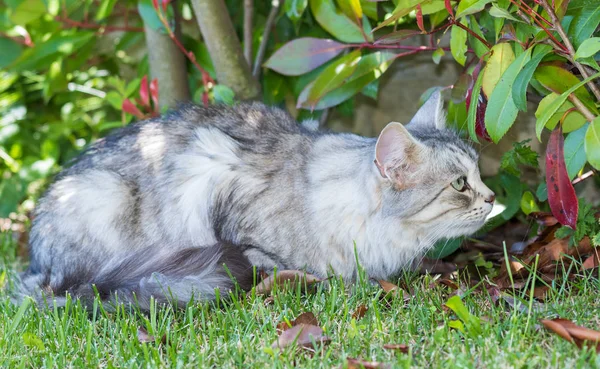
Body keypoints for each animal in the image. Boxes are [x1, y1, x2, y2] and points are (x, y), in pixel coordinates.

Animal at [15, 90, 492, 310]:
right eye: (459, 184)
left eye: (478, 172)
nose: (490, 198)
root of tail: (38, 266)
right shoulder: (227, 207)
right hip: (103, 196)